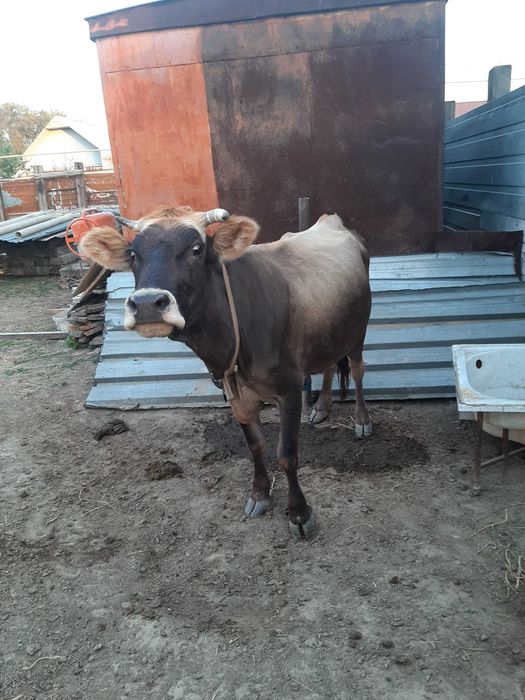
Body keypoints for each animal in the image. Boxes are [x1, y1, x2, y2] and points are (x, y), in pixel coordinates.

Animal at [79, 206, 372, 540]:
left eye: (196, 249)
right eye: (132, 253)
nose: (147, 304)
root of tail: (330, 219)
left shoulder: (289, 389)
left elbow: (286, 454)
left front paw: (300, 514)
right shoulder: (235, 392)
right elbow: (255, 445)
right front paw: (259, 494)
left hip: (359, 329)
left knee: (358, 369)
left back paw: (362, 421)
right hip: (328, 330)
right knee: (328, 363)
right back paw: (322, 408)